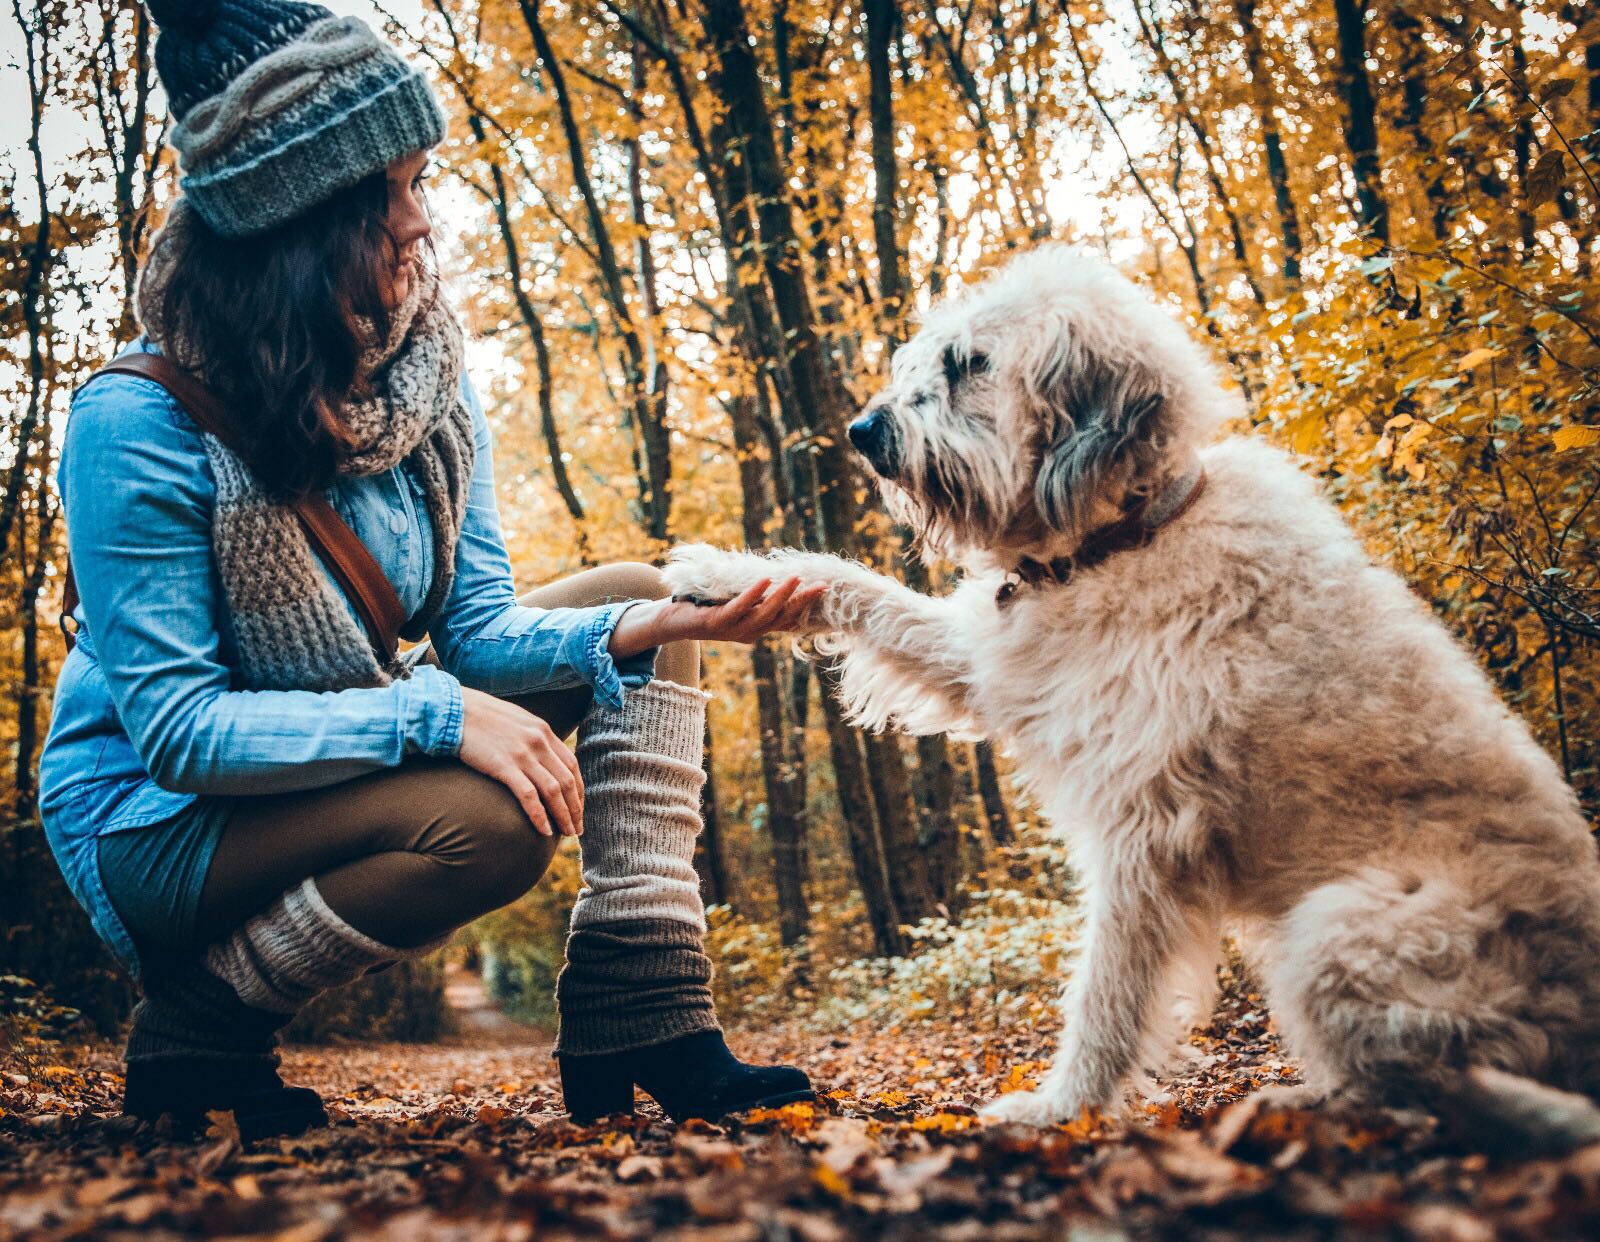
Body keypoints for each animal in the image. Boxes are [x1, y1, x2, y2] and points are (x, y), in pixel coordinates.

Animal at [668, 248, 1600, 1133]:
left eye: (970, 363)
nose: (863, 430)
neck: (1126, 538)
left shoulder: (1143, 829)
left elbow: (1107, 990)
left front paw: (1061, 1107)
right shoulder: (992, 657)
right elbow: (856, 587)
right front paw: (728, 577)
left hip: (1340, 927)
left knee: (1431, 1080)